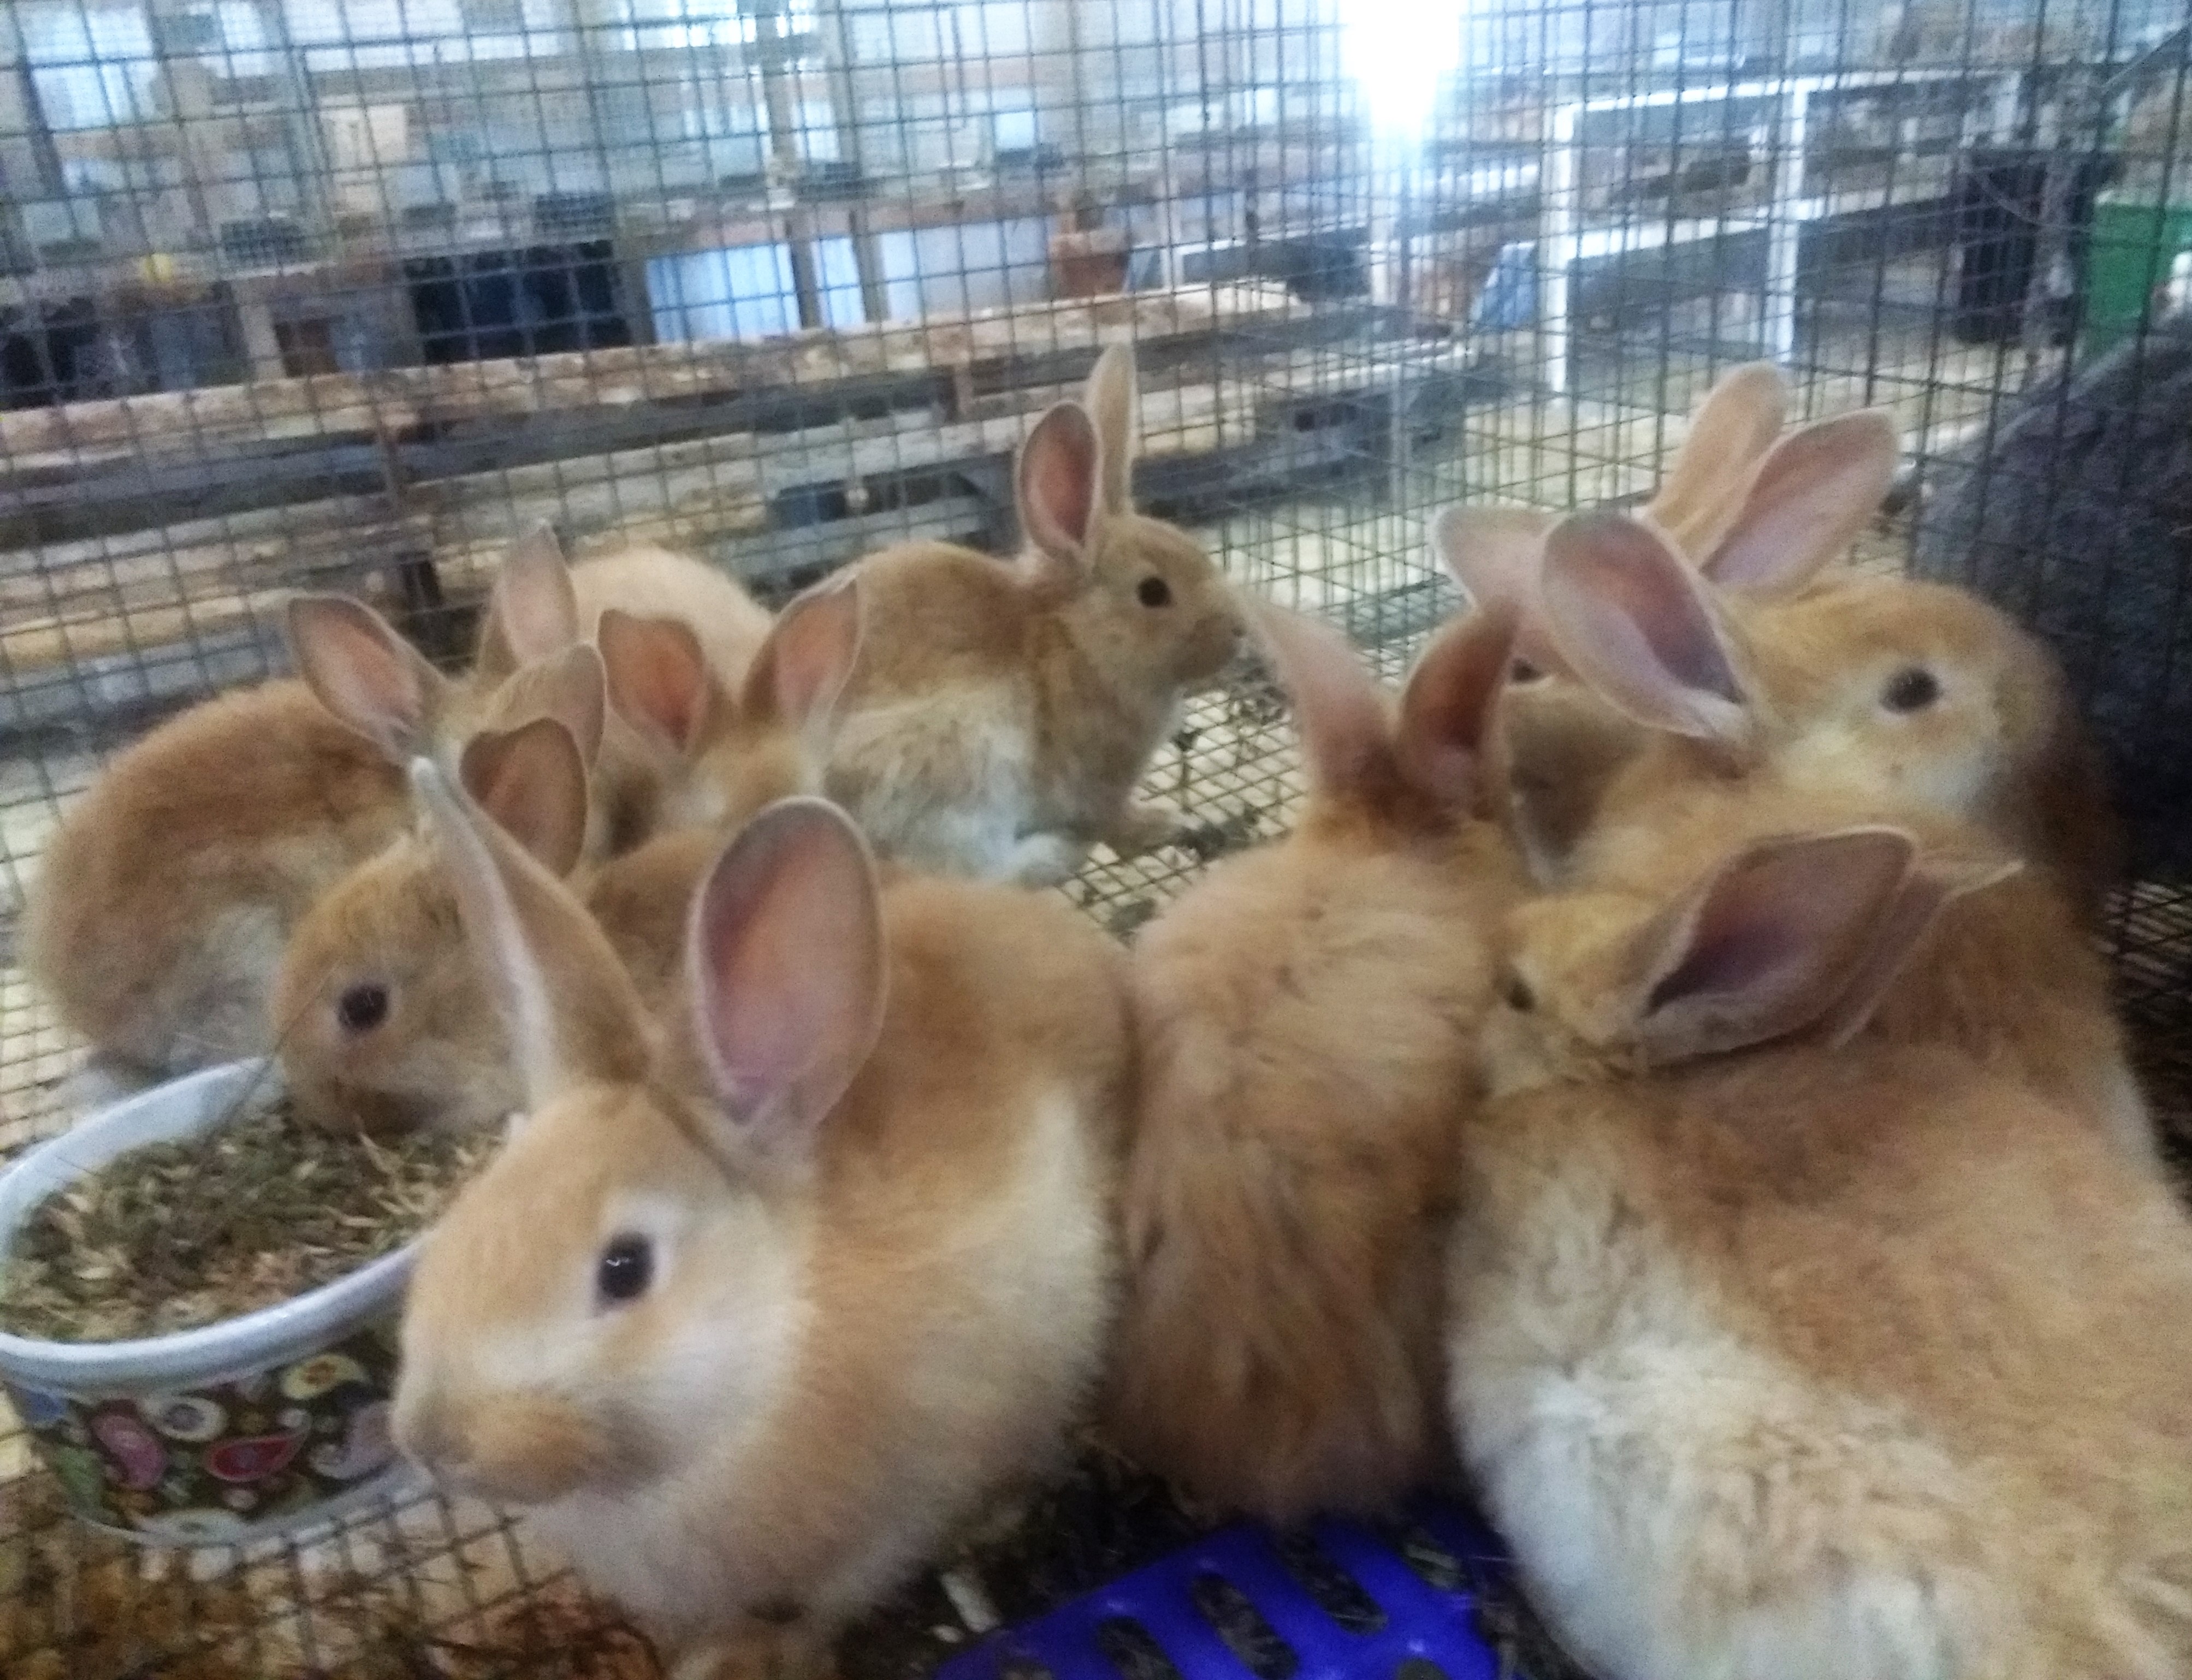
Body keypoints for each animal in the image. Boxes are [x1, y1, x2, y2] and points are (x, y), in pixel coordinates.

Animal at [390, 771, 1133, 1680]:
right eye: (459, 1227)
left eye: (625, 1268)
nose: (429, 1441)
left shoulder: (897, 1515)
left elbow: (832, 1599)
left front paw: (746, 1656)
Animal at [824, 344, 1246, 886]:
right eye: (1153, 592)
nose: (1239, 630)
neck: (1077, 640)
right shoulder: (1095, 788)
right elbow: (1115, 821)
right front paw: (1165, 823)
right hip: (952, 773)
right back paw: (1060, 852)